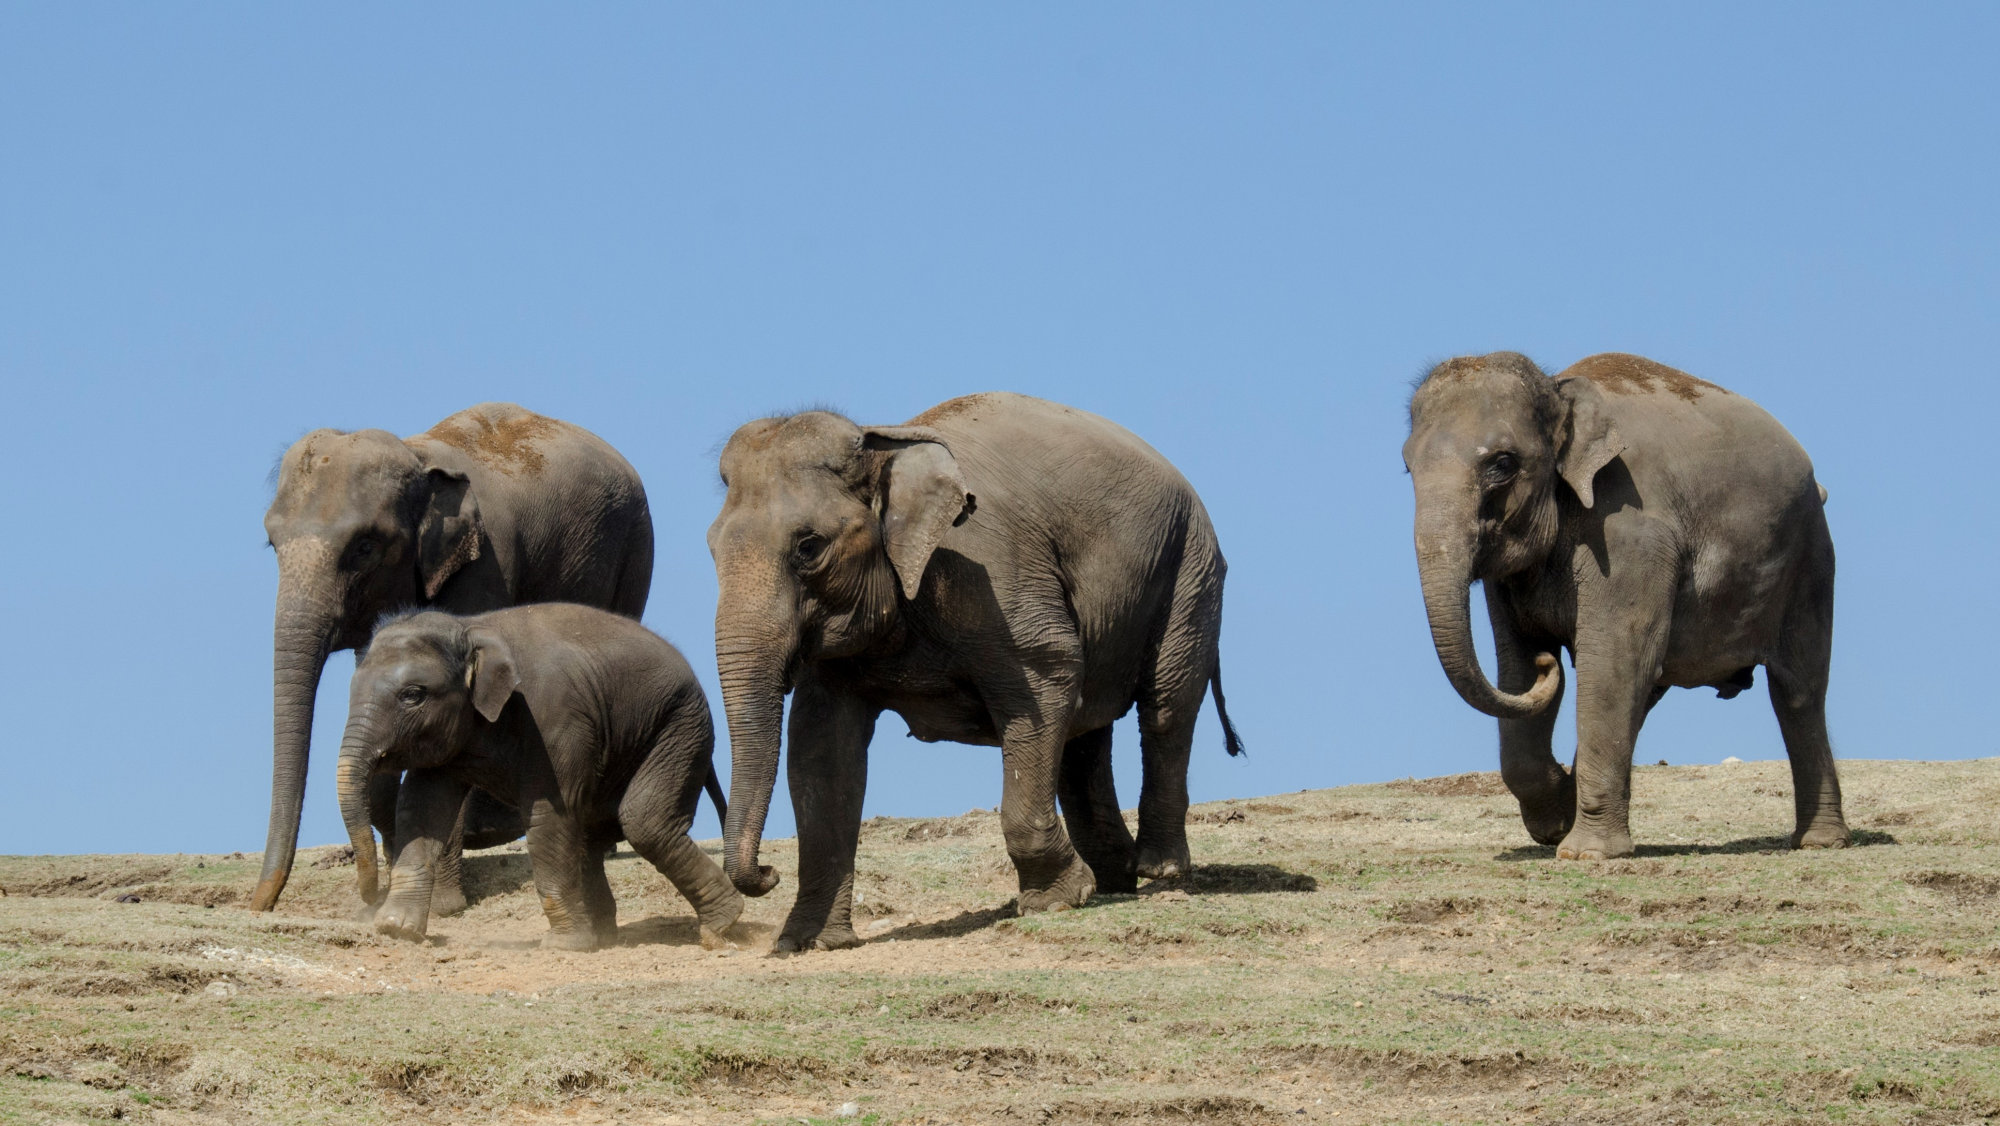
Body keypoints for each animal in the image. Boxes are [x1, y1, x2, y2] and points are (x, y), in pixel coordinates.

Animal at [249, 400, 656, 912]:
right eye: (272, 544)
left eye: (365, 547)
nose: (259, 905)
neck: (418, 457)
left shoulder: (483, 566)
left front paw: (441, 906)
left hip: (636, 546)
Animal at [336, 604, 744, 948]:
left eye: (412, 695)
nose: (368, 899)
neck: (470, 627)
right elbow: (422, 809)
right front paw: (396, 929)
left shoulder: (554, 720)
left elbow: (548, 814)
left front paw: (564, 946)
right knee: (592, 833)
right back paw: (605, 938)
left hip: (679, 726)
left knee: (645, 822)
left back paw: (720, 927)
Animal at [704, 392, 1232, 956]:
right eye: (711, 548)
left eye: (809, 547)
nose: (768, 872)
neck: (881, 445)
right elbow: (821, 747)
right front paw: (807, 943)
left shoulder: (992, 574)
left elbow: (1046, 680)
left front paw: (1054, 902)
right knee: (1086, 736)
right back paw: (1116, 881)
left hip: (1191, 567)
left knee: (1165, 709)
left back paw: (1159, 871)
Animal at [1408, 354, 1840, 864]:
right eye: (1407, 468)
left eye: (1503, 463)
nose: (1550, 662)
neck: (1559, 392)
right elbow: (1516, 668)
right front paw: (1554, 822)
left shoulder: (1630, 536)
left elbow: (1613, 660)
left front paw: (1584, 854)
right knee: (1649, 688)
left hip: (1811, 557)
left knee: (1798, 690)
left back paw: (1821, 842)